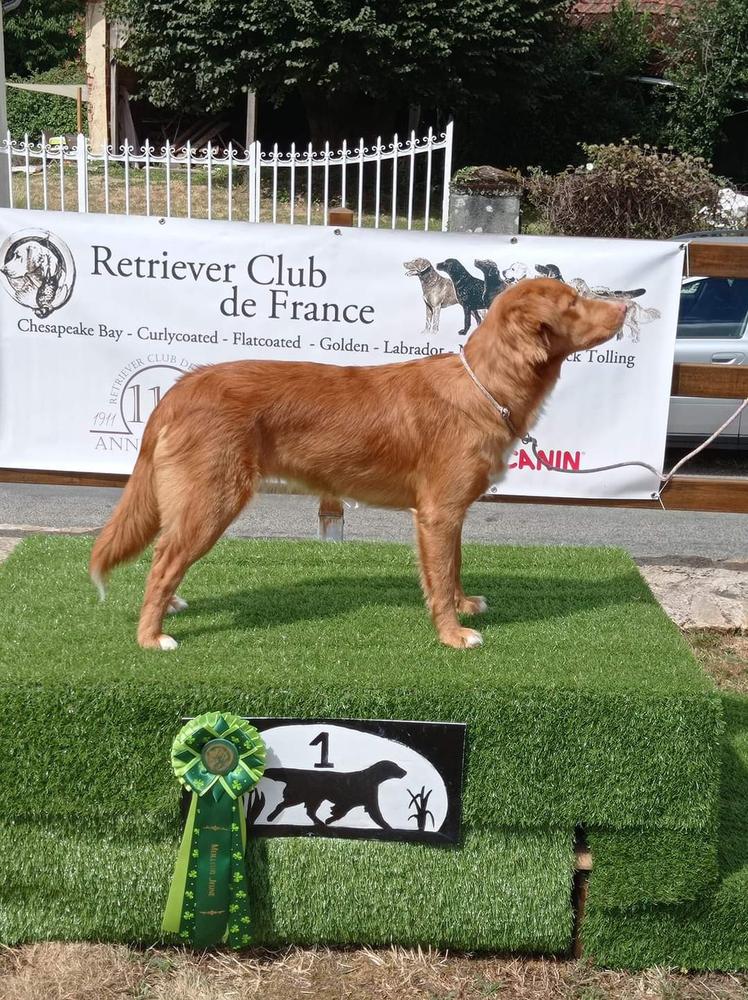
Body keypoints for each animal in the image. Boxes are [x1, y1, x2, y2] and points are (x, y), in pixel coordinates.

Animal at [89, 282, 624, 652]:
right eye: (573, 302)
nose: (625, 307)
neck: (484, 386)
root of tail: (182, 387)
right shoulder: (439, 512)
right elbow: (441, 574)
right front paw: (453, 635)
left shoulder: (447, 514)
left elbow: (451, 569)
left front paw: (462, 605)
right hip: (213, 499)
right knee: (163, 560)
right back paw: (151, 636)